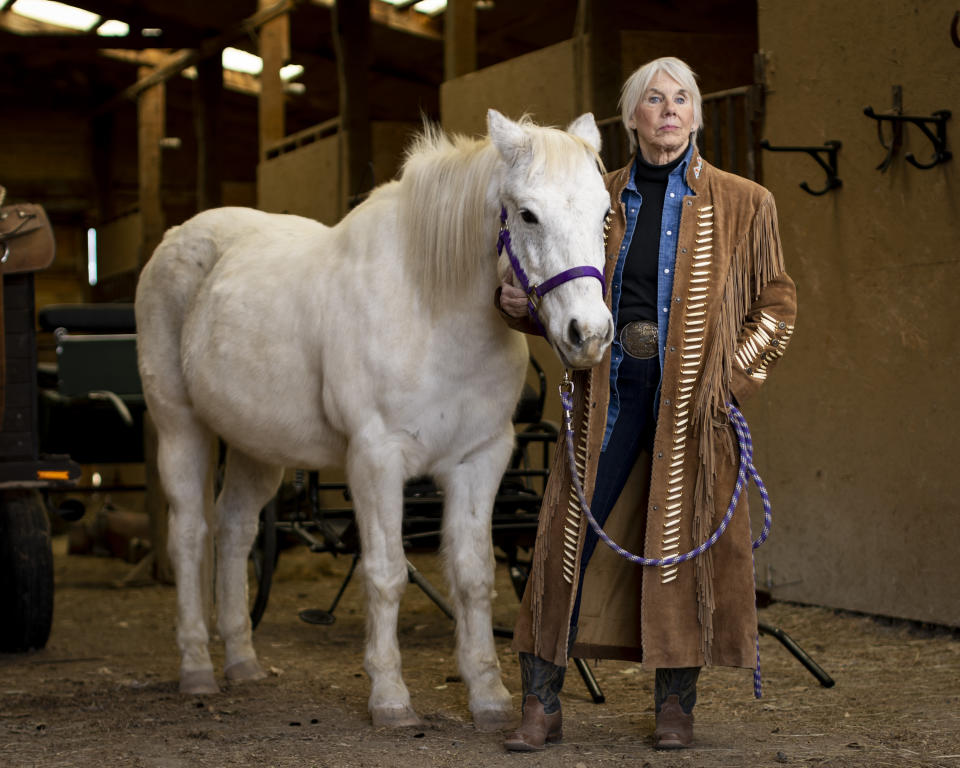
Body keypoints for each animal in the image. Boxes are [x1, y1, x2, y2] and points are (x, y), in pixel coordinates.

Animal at [133, 109, 616, 732]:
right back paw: (197, 667)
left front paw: (488, 695)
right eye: (528, 214)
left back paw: (242, 662)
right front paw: (390, 697)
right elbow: (386, 574)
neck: (430, 309)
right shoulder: (376, 459)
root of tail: (178, 240)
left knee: (235, 529)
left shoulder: (480, 459)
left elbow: (474, 576)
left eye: (604, 212)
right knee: (192, 533)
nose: (590, 335)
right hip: (181, 428)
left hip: (256, 447)